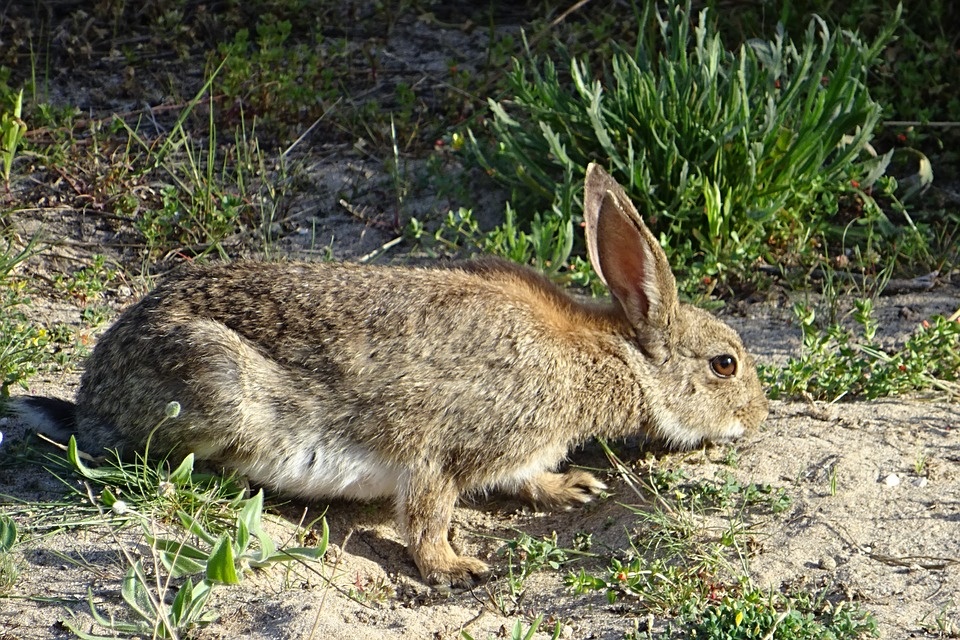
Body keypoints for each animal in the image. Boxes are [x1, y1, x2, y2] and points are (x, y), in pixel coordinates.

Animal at [11, 164, 768, 584]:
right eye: (724, 364)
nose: (759, 417)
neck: (612, 356)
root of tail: (94, 395)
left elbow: (525, 478)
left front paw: (571, 487)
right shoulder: (448, 446)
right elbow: (428, 512)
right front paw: (455, 570)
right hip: (215, 384)